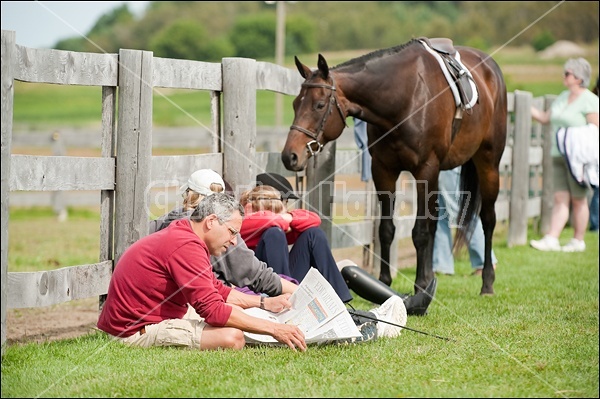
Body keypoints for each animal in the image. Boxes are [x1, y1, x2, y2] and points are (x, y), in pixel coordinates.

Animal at [282, 38, 506, 296]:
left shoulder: (425, 170)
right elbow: (387, 230)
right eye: (294, 104)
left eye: (319, 105)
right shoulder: (384, 171)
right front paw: (385, 282)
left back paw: (487, 282)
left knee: (487, 219)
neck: (405, 98)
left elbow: (419, 232)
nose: (290, 156)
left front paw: (420, 285)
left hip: (488, 163)